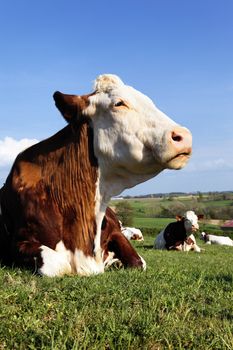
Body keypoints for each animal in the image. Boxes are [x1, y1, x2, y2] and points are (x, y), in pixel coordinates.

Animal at [0, 74, 192, 276]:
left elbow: (139, 262)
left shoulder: (117, 232)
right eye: (119, 103)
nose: (184, 136)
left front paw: (115, 261)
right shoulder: (18, 242)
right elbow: (58, 264)